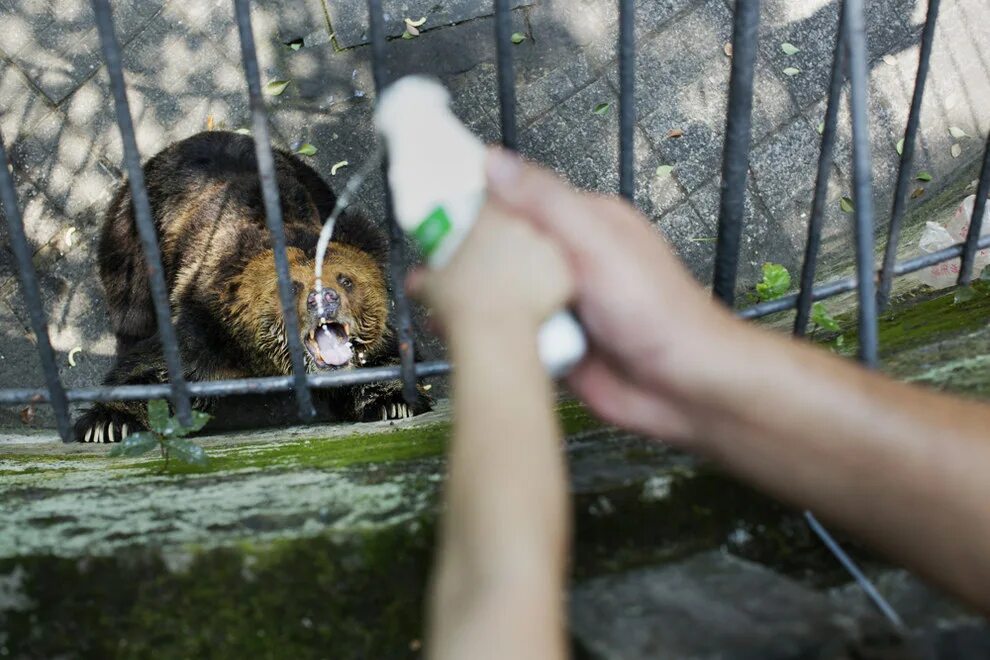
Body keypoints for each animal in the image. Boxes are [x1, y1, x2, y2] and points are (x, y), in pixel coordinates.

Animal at [75, 130, 432, 444]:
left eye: (345, 279)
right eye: (292, 286)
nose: (324, 299)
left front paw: (393, 402)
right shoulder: (205, 332)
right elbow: (153, 367)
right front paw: (109, 423)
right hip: (134, 237)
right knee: (132, 309)